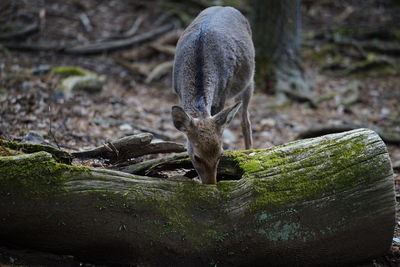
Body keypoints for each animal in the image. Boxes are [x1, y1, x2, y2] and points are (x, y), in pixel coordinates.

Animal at [171, 6, 253, 186]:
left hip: (249, 81)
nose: (211, 184)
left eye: (221, 154)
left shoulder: (222, 93)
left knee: (245, 120)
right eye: (196, 157)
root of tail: (227, 6)